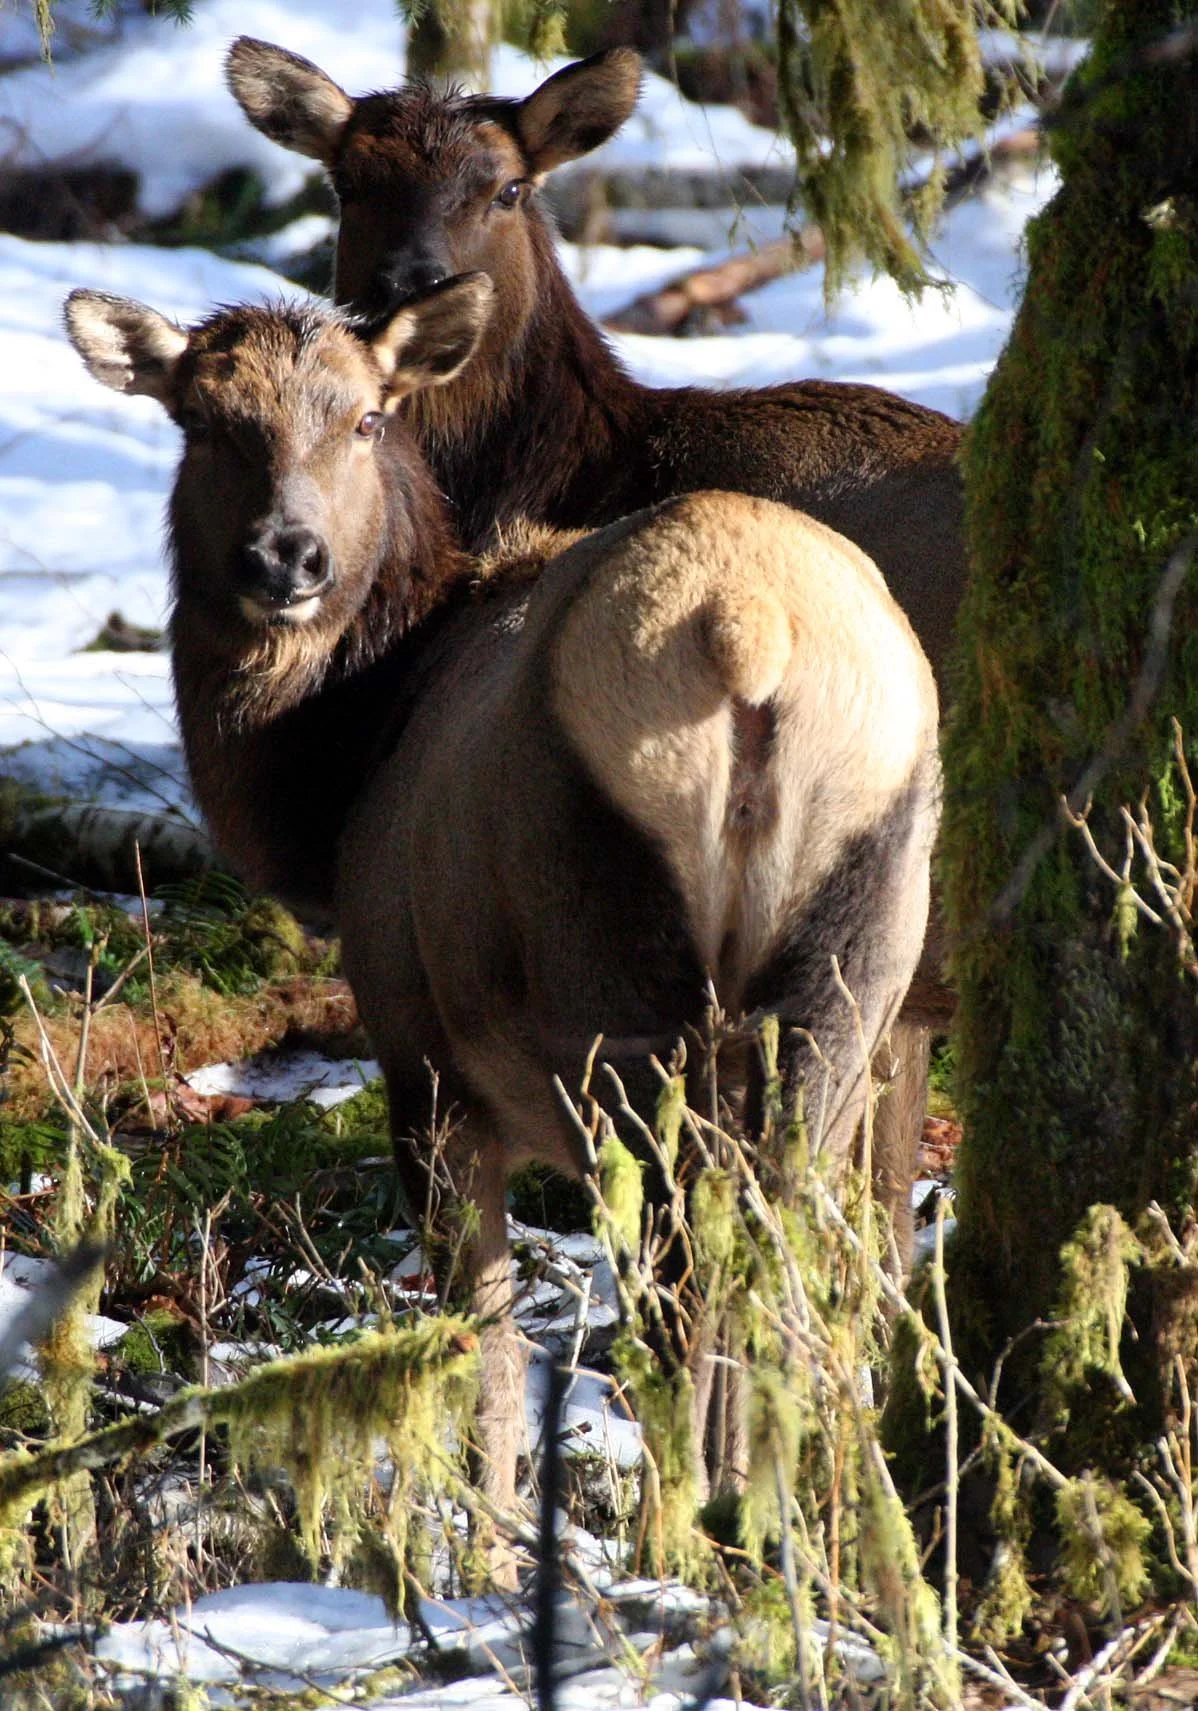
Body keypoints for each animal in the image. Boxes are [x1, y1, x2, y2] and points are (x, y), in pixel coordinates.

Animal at [65, 275, 939, 1576]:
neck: (339, 773)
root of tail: (748, 630)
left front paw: (476, 1548)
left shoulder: (419, 1050)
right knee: (779, 1266)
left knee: (680, 1293)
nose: (287, 554)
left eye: (368, 417)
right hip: (850, 964)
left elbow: (479, 1339)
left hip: (612, 975)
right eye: (205, 422)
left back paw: (677, 1543)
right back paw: (775, 1536)